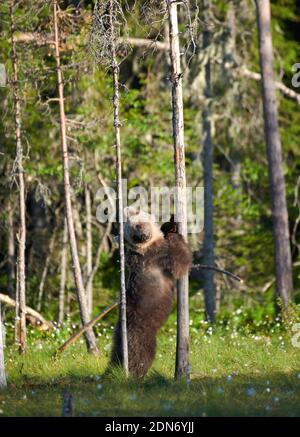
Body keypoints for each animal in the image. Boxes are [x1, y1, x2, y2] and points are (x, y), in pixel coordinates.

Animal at [109, 206, 191, 376]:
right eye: (133, 230)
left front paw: (169, 223)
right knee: (141, 353)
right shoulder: (159, 257)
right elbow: (180, 261)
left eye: (138, 225)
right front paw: (173, 230)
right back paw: (135, 373)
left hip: (118, 333)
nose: (142, 236)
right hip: (142, 331)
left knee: (116, 352)